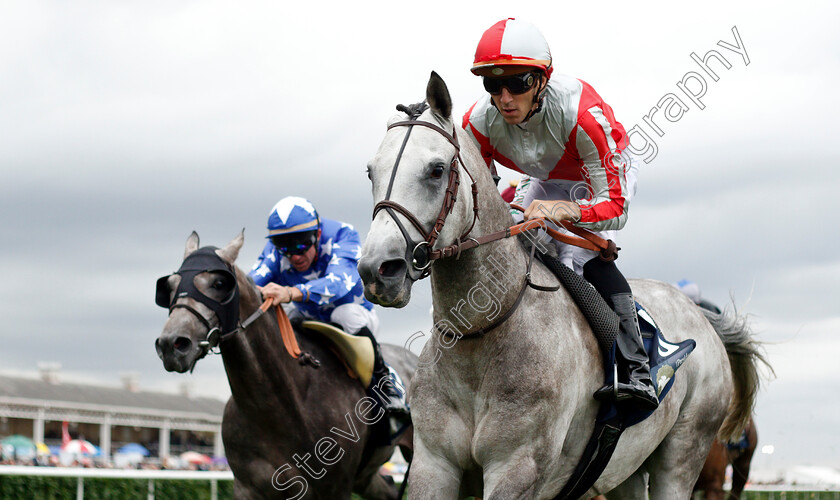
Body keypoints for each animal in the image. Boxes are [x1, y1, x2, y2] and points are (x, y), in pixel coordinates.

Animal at [155, 232, 416, 498]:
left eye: (219, 284)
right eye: (171, 286)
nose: (172, 344)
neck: (277, 406)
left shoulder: (335, 486)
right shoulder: (248, 486)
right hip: (366, 476)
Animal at [358, 71, 764, 500]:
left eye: (436, 170)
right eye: (371, 172)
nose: (377, 270)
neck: (480, 335)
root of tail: (699, 313)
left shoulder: (516, 467)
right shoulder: (433, 464)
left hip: (685, 453)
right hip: (627, 469)